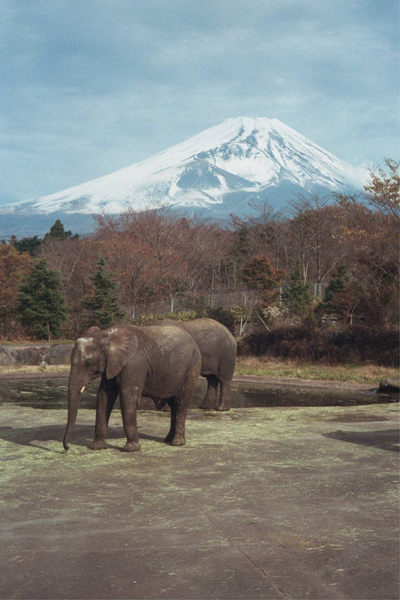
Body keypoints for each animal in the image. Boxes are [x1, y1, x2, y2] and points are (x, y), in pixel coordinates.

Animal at [63, 324, 202, 450]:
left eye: (88, 362)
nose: (67, 448)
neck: (107, 335)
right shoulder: (112, 365)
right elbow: (104, 396)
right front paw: (97, 447)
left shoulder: (133, 364)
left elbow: (128, 396)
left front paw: (131, 449)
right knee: (174, 405)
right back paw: (167, 440)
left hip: (192, 368)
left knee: (181, 403)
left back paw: (177, 443)